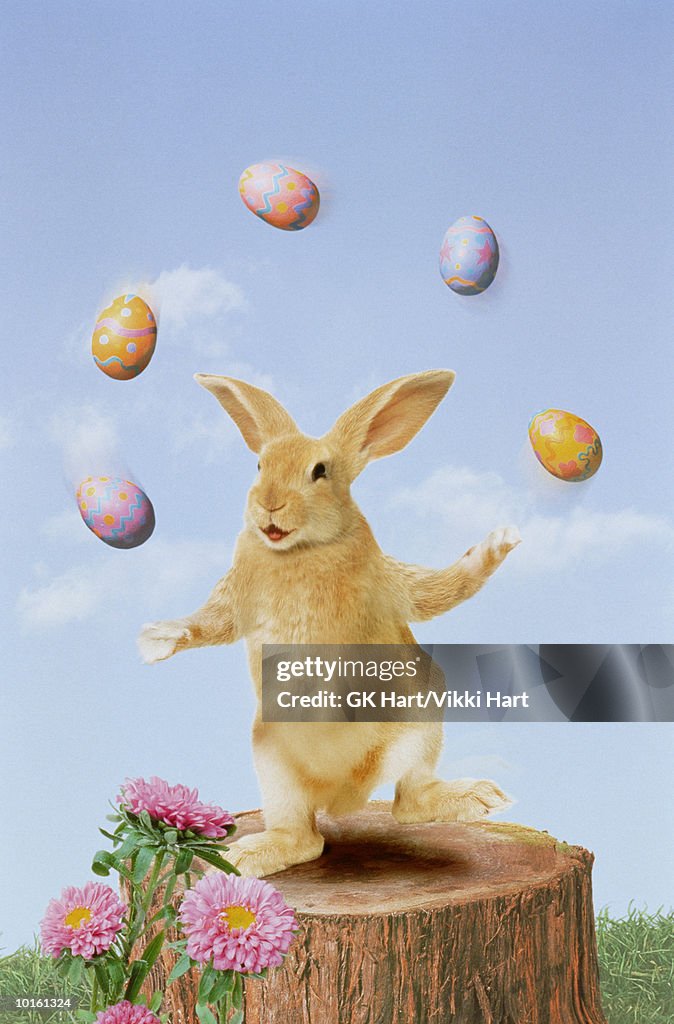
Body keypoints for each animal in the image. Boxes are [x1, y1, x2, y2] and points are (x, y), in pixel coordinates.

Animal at [135, 372, 514, 876]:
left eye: (320, 471)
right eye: (259, 465)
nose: (269, 504)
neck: (302, 550)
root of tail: (343, 797)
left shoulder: (390, 586)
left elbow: (441, 590)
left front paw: (501, 540)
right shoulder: (237, 600)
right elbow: (210, 623)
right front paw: (157, 639)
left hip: (420, 728)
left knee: (407, 803)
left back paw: (477, 797)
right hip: (272, 761)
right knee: (305, 838)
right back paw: (245, 856)